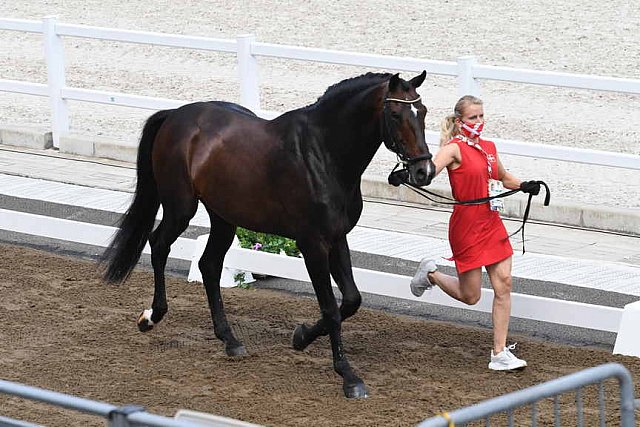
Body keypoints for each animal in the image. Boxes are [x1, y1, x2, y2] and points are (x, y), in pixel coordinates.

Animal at [101, 72, 436, 400]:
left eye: (423, 111)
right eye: (395, 114)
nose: (424, 171)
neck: (323, 153)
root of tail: (175, 115)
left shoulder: (338, 238)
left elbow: (352, 300)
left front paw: (301, 337)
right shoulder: (312, 244)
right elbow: (330, 309)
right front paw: (349, 377)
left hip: (223, 217)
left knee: (209, 265)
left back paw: (230, 340)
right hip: (180, 208)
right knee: (159, 245)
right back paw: (151, 317)